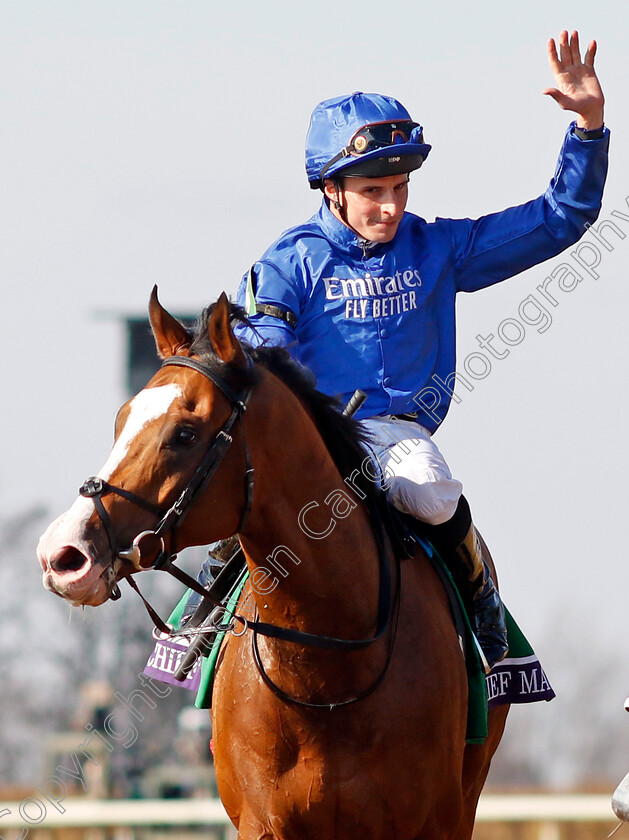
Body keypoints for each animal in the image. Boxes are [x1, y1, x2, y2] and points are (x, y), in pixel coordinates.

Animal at [38, 288, 506, 840]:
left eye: (184, 433)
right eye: (121, 419)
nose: (63, 555)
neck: (328, 671)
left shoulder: (431, 820)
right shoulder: (264, 821)